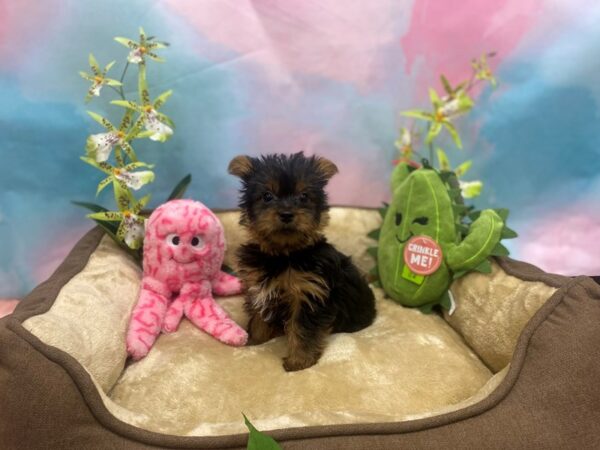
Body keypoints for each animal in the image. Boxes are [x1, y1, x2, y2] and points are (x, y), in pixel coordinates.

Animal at [229, 153, 376, 370]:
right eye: (267, 196)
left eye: (304, 196)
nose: (286, 213)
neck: (285, 254)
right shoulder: (259, 288)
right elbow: (259, 317)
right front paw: (255, 341)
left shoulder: (308, 293)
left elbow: (303, 329)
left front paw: (299, 361)